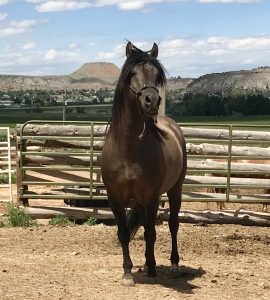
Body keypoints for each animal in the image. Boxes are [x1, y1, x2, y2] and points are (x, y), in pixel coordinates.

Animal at [101, 41, 188, 286]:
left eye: (157, 75)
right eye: (132, 74)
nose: (152, 101)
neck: (129, 150)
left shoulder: (152, 196)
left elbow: (151, 233)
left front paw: (151, 268)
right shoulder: (115, 197)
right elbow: (123, 233)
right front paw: (128, 273)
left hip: (175, 189)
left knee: (173, 224)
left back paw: (173, 265)